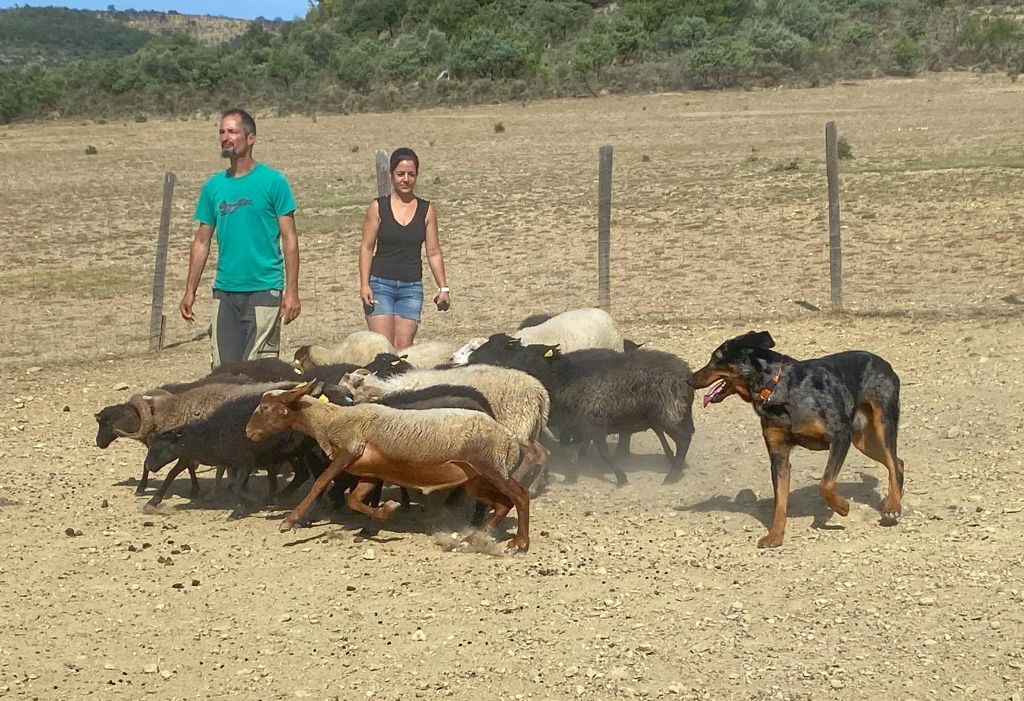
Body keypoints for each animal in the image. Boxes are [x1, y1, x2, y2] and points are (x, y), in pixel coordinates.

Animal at [247, 382, 532, 552]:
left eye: (265, 407)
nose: (248, 432)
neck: (330, 421)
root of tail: (509, 437)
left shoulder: (349, 450)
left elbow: (320, 482)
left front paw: (288, 521)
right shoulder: (370, 472)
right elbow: (354, 499)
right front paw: (386, 511)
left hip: (491, 465)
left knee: (519, 495)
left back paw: (519, 542)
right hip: (475, 479)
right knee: (502, 504)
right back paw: (472, 539)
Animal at [688, 331, 905, 548]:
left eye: (716, 359)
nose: (690, 380)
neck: (776, 389)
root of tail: (883, 362)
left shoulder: (841, 436)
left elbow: (825, 484)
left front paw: (842, 507)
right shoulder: (779, 456)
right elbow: (780, 501)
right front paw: (775, 535)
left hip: (882, 423)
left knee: (892, 461)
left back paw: (892, 507)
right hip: (862, 440)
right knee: (898, 462)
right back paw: (893, 500)